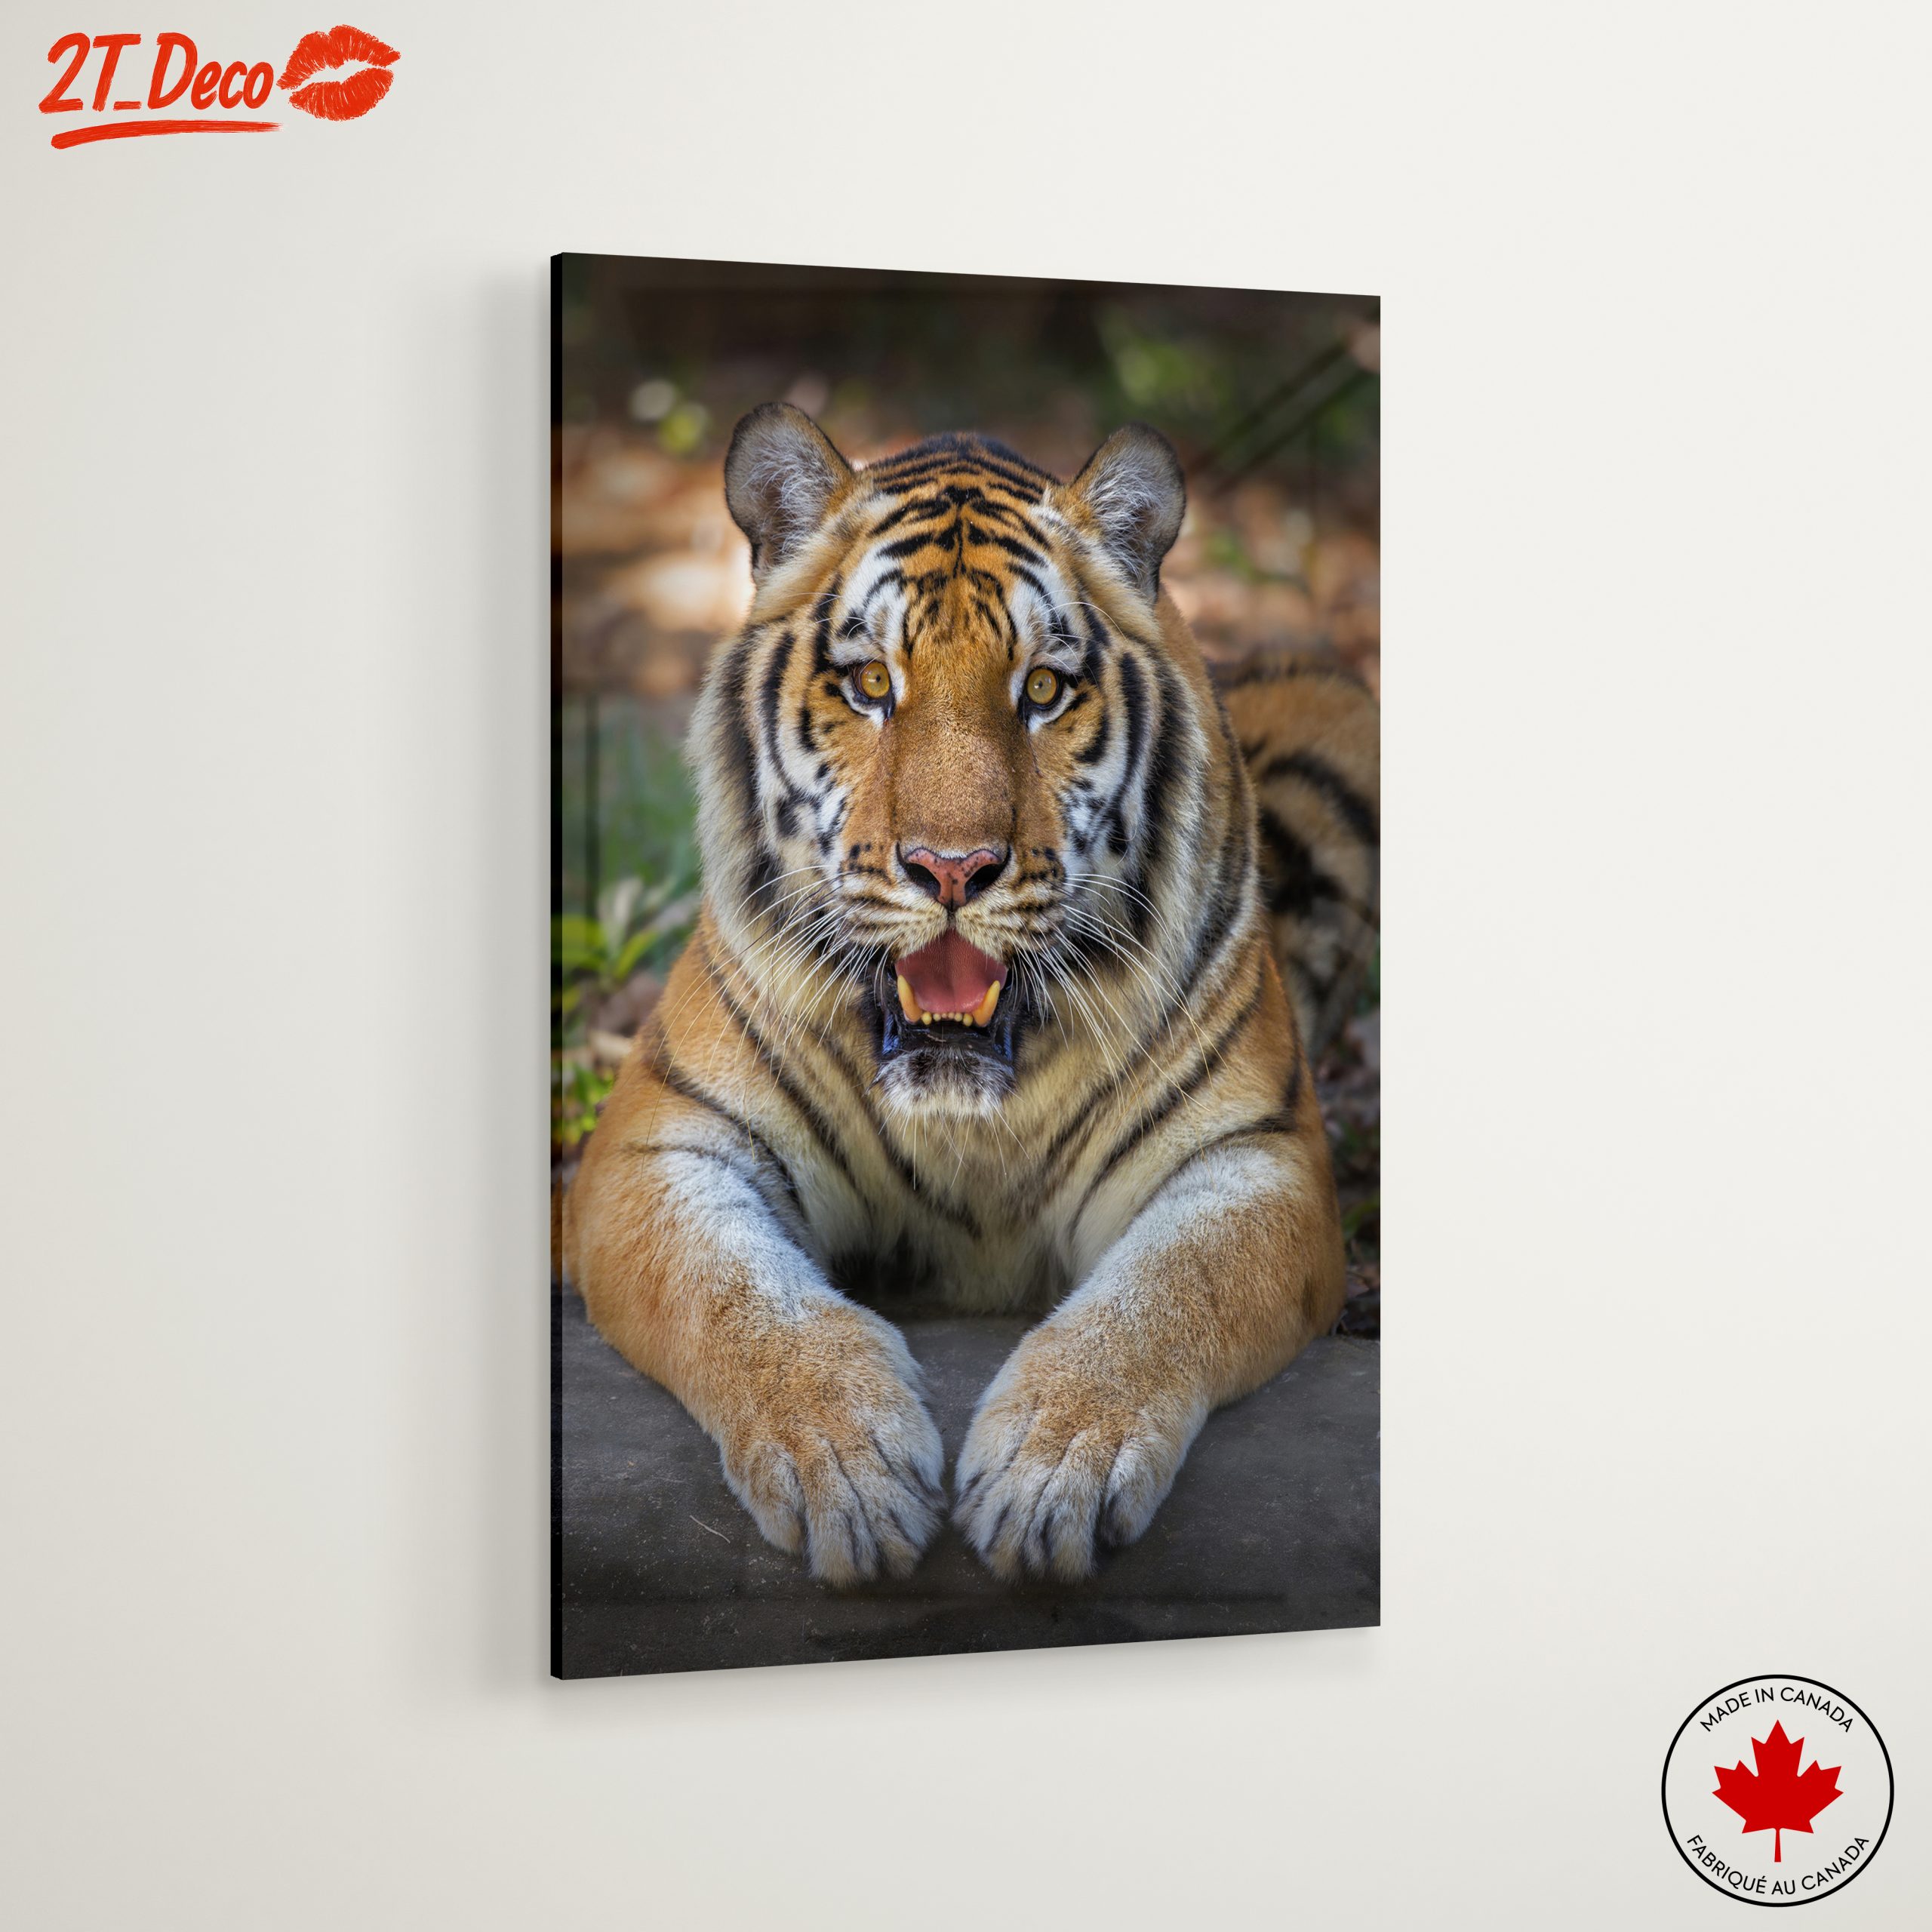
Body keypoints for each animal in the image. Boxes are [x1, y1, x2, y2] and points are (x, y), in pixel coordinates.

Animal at [561, 403, 1379, 1586]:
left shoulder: (1256, 1160)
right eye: (870, 684)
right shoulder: (659, 1147)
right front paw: (848, 1467)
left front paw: (1050, 1469)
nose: (952, 870)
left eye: (1041, 690)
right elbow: (738, 1298)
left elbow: (1165, 1296)